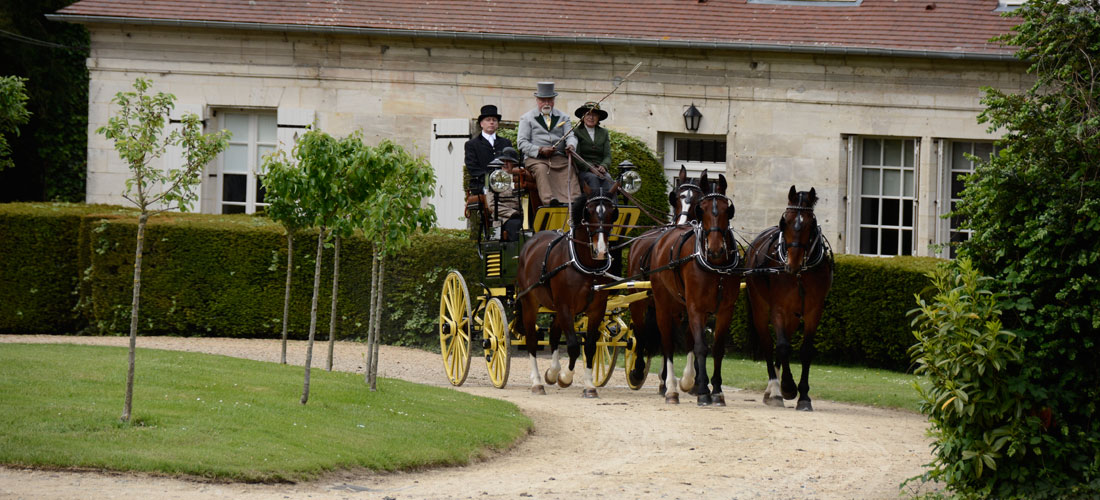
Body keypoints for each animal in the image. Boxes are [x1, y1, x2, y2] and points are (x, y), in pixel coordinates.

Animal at [514, 182, 620, 397]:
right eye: (588, 211)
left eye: (612, 212)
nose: (600, 250)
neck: (587, 267)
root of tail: (531, 241)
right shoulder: (564, 306)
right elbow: (572, 346)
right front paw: (565, 377)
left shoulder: (597, 309)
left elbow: (589, 346)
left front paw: (589, 386)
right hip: (530, 302)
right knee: (531, 340)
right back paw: (537, 382)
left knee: (554, 334)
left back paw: (551, 372)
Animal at [624, 165, 699, 389]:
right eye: (677, 197)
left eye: (698, 199)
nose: (684, 223)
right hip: (639, 300)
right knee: (639, 332)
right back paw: (638, 370)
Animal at [642, 172, 739, 406]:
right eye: (702, 209)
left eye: (727, 209)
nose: (715, 249)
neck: (716, 266)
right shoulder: (695, 307)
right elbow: (700, 346)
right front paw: (703, 390)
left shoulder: (725, 310)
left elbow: (717, 349)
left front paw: (717, 391)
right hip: (663, 305)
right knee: (667, 343)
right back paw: (670, 388)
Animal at [748, 185, 831, 413]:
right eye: (785, 221)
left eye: (810, 223)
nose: (793, 262)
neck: (799, 273)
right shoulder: (778, 308)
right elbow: (783, 346)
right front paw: (786, 387)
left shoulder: (813, 311)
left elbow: (805, 350)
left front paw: (804, 396)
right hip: (760, 307)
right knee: (769, 344)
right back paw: (774, 388)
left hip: (794, 316)